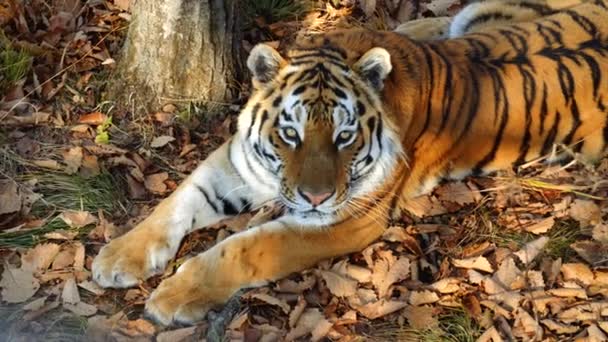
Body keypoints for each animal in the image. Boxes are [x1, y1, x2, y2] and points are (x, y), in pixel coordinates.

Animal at [90, 0, 608, 326]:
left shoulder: (343, 220)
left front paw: (172, 296)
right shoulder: (239, 161)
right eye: (291, 134)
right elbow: (177, 201)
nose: (316, 196)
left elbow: (243, 249)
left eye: (344, 137)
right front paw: (118, 257)